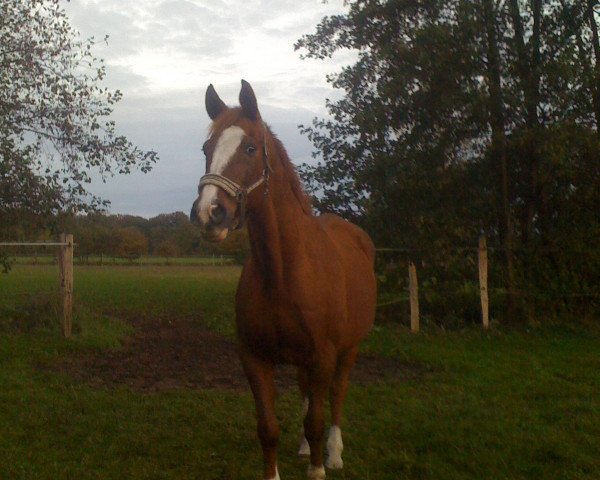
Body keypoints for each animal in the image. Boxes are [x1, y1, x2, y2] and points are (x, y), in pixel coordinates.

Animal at [190, 80, 378, 478]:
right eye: (206, 149)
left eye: (250, 148)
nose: (209, 213)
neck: (283, 273)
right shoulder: (254, 358)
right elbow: (269, 428)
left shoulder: (323, 356)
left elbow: (316, 420)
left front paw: (320, 468)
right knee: (307, 393)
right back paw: (307, 449)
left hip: (348, 349)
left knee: (337, 394)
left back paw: (333, 454)